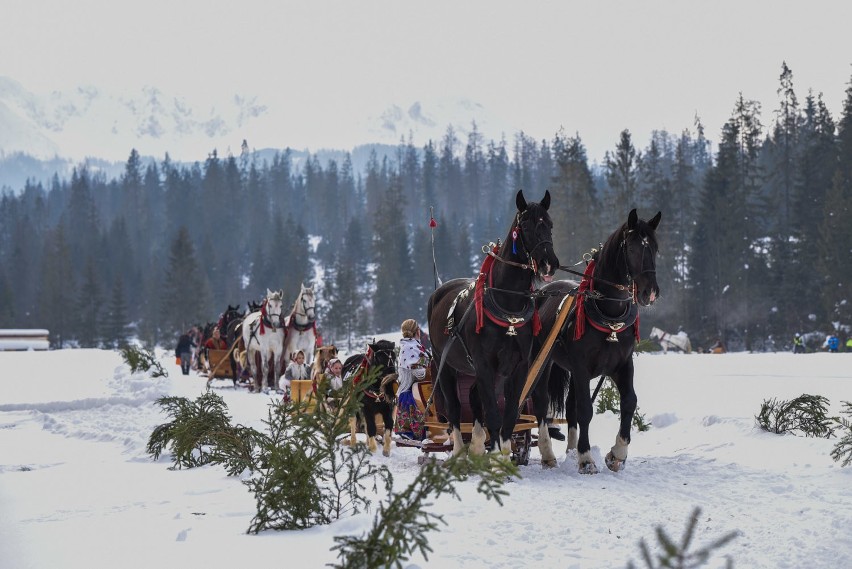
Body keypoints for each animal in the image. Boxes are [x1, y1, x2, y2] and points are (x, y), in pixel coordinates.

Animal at [426, 191, 560, 458]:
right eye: (526, 225)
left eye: (550, 224)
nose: (548, 263)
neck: (508, 306)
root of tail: (438, 293)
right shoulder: (485, 366)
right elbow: (493, 415)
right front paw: (497, 456)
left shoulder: (518, 367)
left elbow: (509, 414)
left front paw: (503, 454)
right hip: (444, 364)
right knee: (455, 408)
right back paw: (459, 450)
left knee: (474, 398)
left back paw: (477, 446)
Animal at [536, 209, 664, 470]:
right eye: (632, 248)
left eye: (655, 248)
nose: (650, 293)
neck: (608, 314)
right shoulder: (581, 367)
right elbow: (586, 409)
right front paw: (586, 459)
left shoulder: (622, 364)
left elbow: (629, 402)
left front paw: (617, 454)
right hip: (544, 363)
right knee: (542, 403)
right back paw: (548, 454)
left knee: (570, 406)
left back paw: (570, 451)